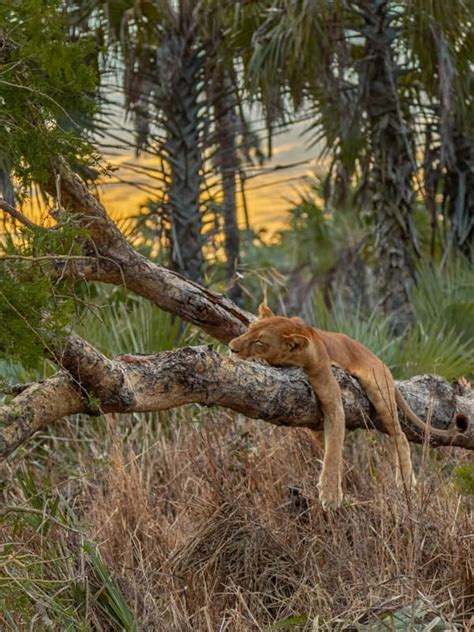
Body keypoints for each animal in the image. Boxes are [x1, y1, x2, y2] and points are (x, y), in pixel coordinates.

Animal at [230, 304, 466, 512]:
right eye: (249, 329)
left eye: (260, 341)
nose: (232, 347)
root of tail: (380, 361)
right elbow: (327, 446)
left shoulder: (334, 400)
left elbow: (334, 449)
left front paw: (330, 495)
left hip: (379, 390)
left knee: (400, 435)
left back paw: (405, 481)